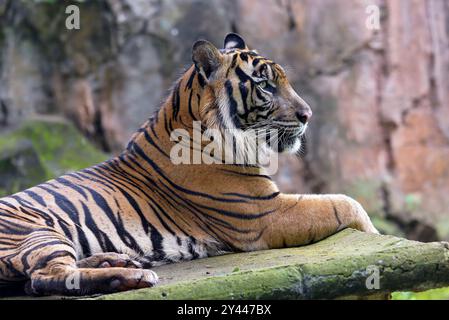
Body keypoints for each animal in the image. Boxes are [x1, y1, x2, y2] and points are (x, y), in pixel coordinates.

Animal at [0, 32, 378, 296]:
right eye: (266, 86)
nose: (308, 114)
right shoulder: (263, 214)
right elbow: (345, 204)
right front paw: (375, 234)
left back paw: (117, 259)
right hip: (36, 231)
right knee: (45, 278)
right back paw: (133, 275)